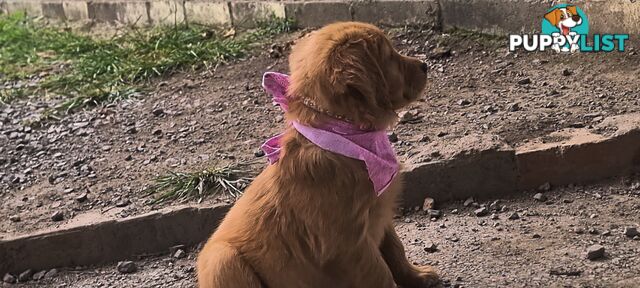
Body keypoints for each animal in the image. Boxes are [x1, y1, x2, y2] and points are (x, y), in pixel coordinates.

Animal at [198, 22, 438, 288]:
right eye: (388, 57)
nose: (425, 65)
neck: (342, 135)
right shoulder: (347, 243)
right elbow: (380, 274)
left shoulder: (381, 212)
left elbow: (395, 250)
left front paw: (418, 276)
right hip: (222, 259)